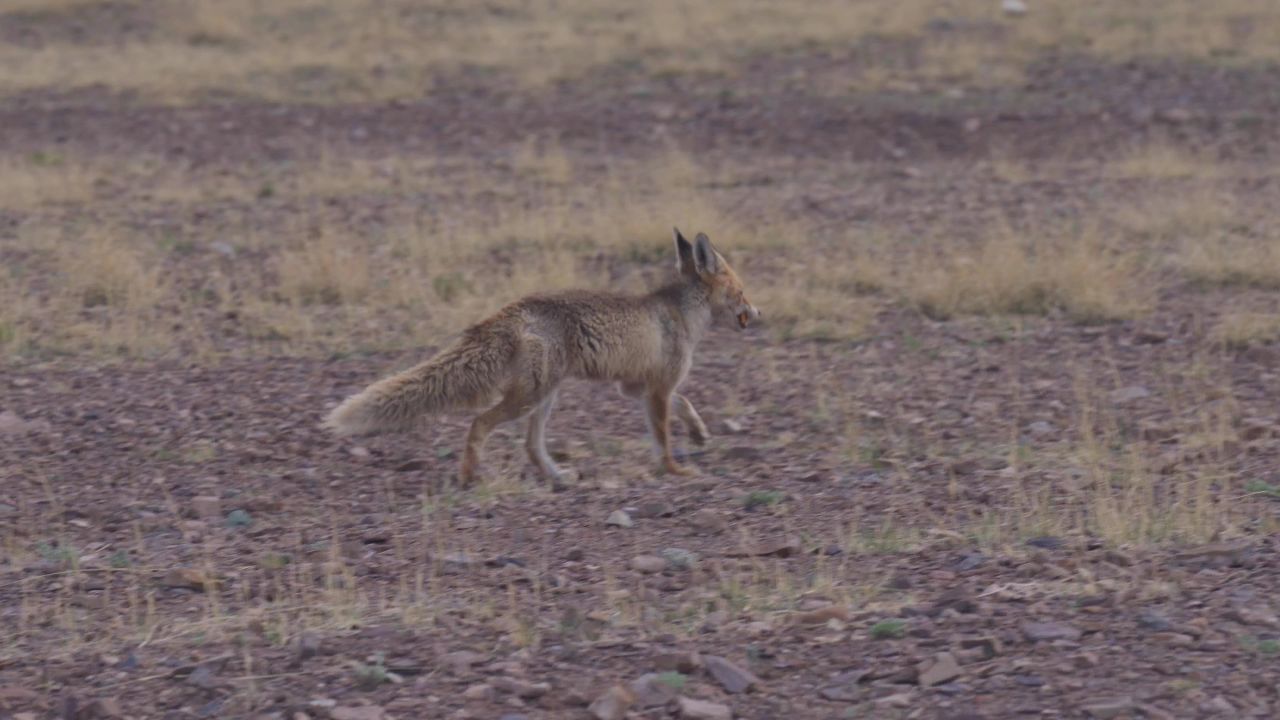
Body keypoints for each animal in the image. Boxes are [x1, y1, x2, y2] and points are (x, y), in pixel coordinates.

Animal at [325, 228, 757, 481]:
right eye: (742, 290)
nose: (758, 313)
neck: (681, 313)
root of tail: (509, 309)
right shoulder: (657, 390)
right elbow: (663, 436)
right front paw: (674, 469)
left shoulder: (637, 387)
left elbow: (685, 404)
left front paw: (698, 432)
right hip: (530, 396)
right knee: (480, 424)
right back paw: (470, 475)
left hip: (546, 395)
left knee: (531, 447)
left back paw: (557, 476)